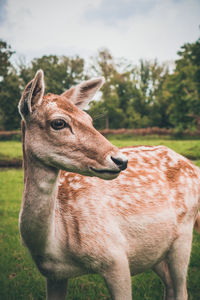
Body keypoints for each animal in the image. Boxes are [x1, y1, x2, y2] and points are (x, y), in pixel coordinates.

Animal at [18, 69, 200, 300]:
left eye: (88, 119)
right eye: (58, 123)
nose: (120, 160)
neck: (53, 245)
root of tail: (194, 166)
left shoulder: (115, 256)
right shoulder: (53, 274)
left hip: (184, 234)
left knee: (181, 289)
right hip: (155, 249)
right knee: (169, 285)